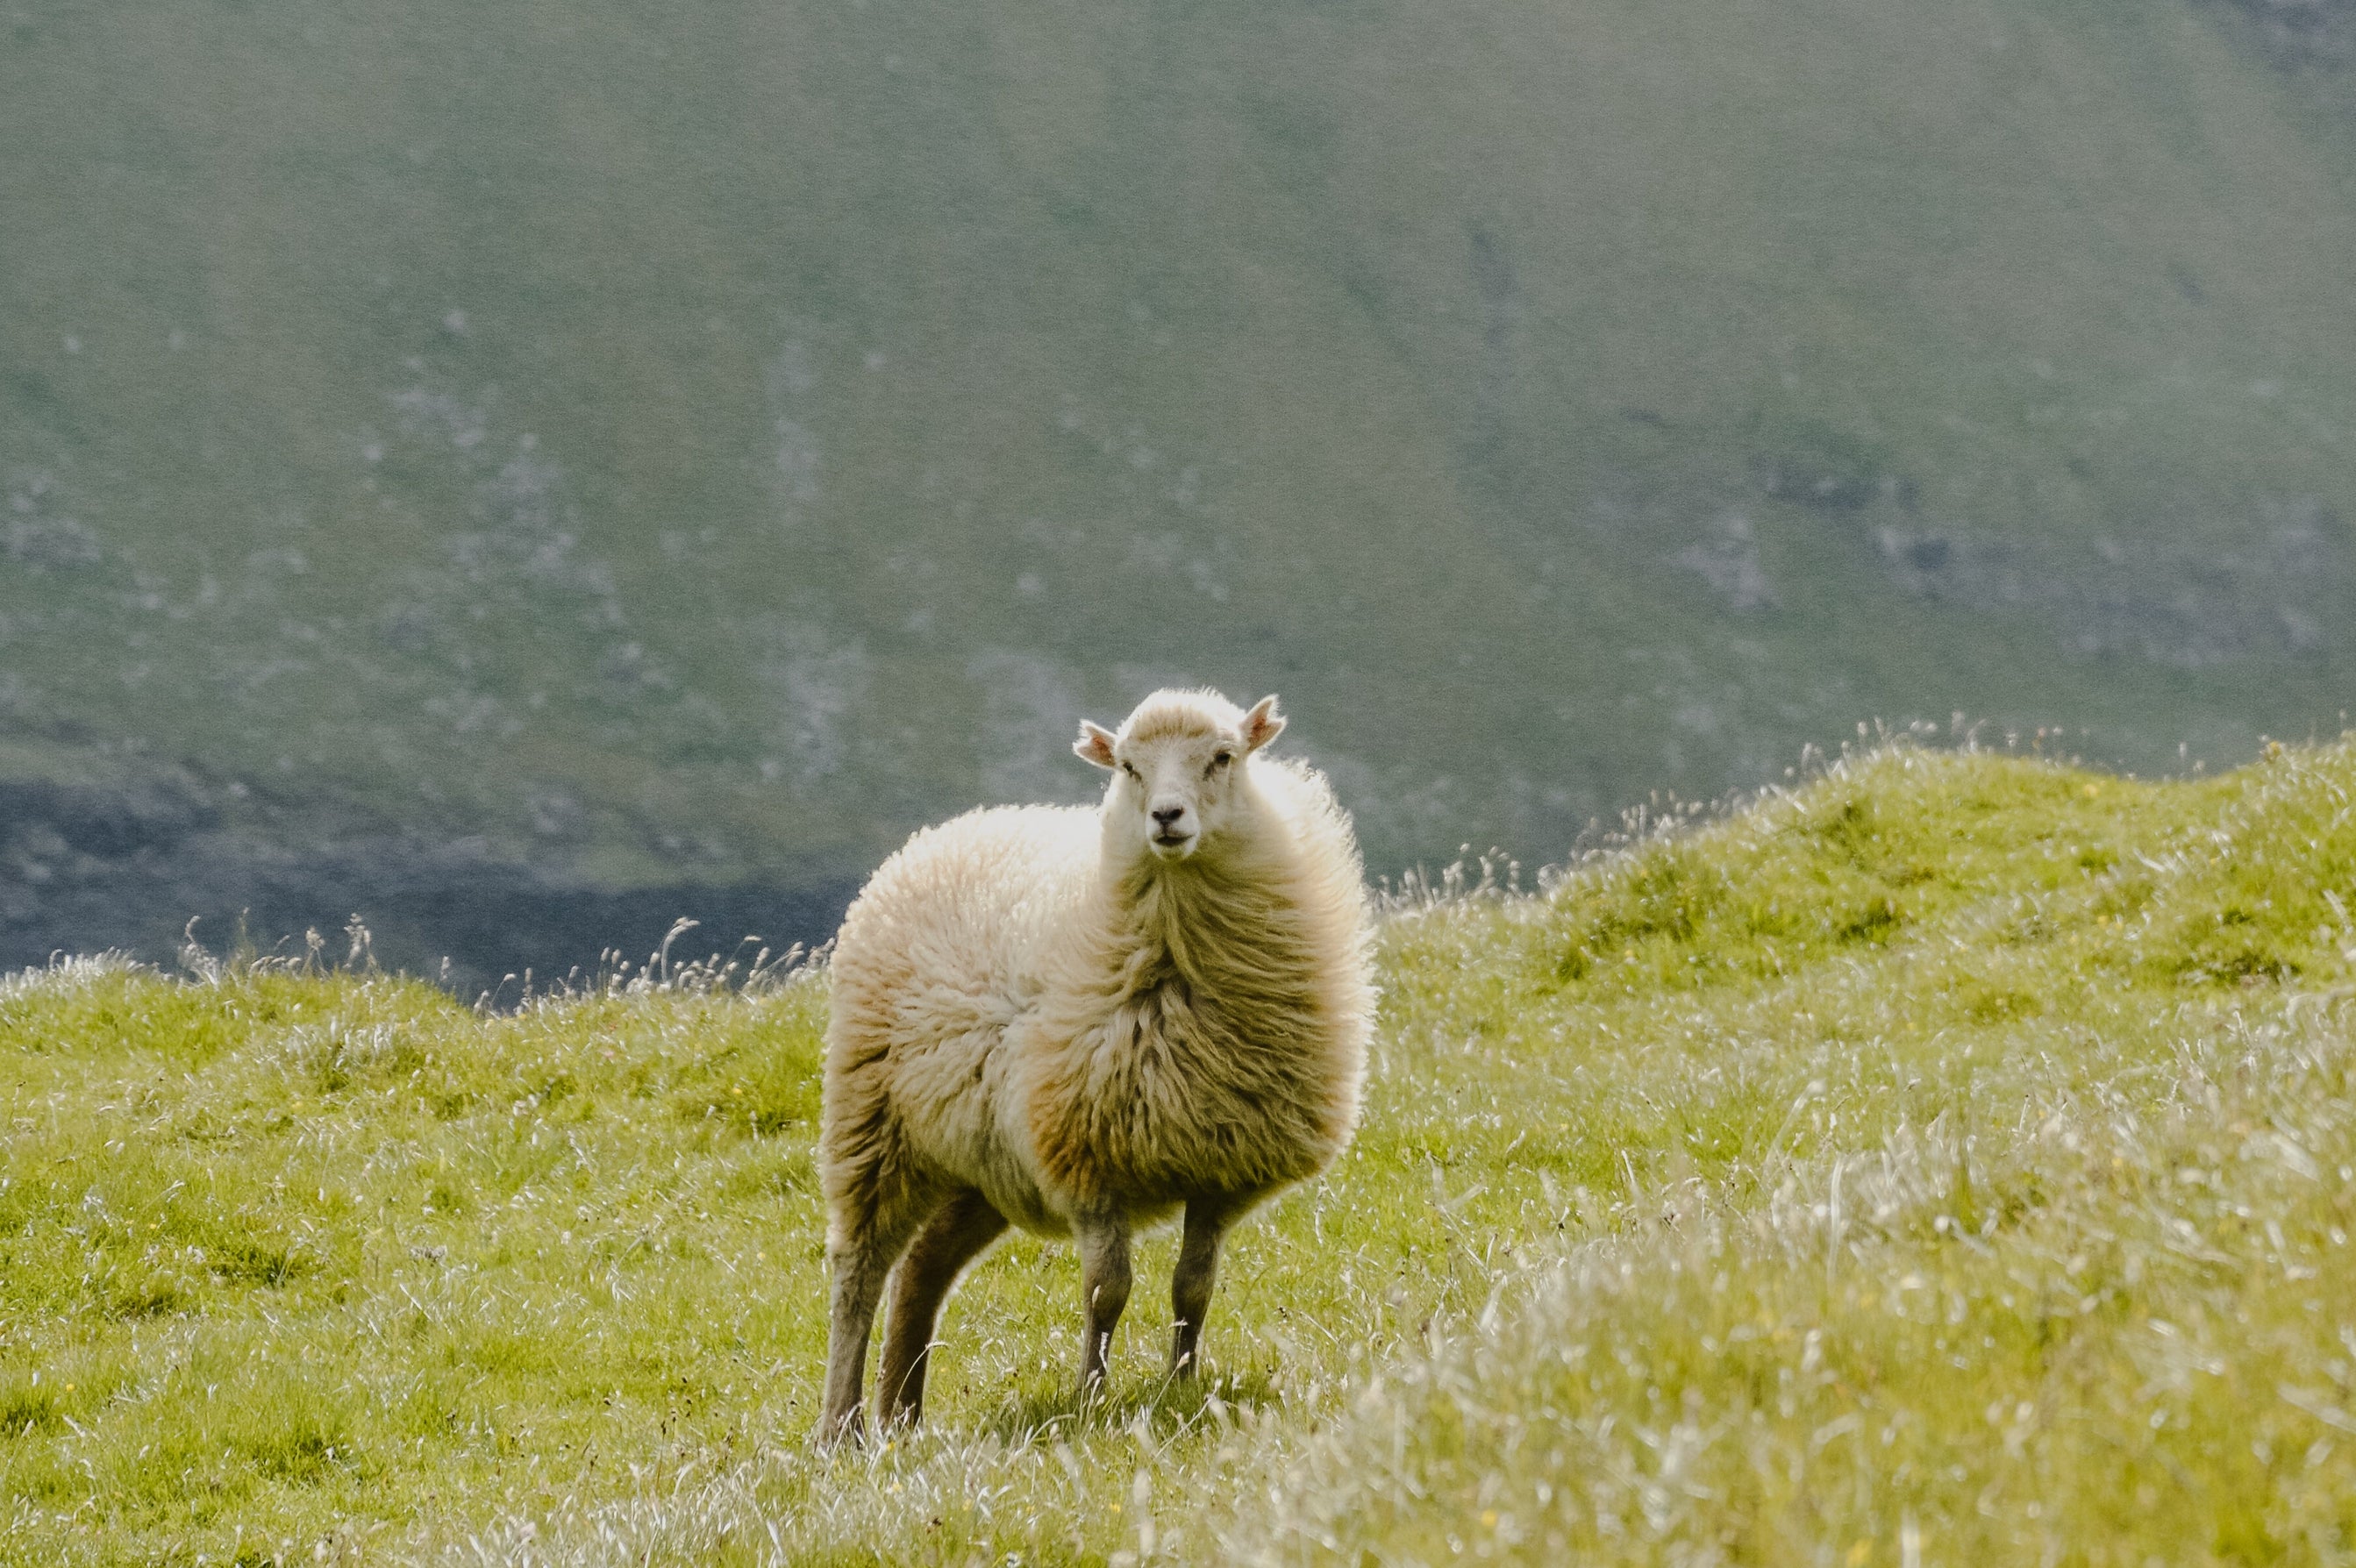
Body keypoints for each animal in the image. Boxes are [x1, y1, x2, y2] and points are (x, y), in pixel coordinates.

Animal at [819, 682, 1375, 1441]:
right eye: (1128, 767)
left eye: (1223, 757)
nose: (1167, 817)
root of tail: (932, 839)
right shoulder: (1086, 1158)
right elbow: (1107, 1290)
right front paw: (1090, 1396)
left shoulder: (1217, 1171)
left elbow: (1193, 1288)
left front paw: (1181, 1384)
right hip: (875, 1126)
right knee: (860, 1272)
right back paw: (840, 1427)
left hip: (986, 1164)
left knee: (923, 1271)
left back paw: (902, 1418)